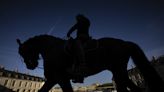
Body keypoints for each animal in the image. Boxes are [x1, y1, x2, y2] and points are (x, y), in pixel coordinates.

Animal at [16, 34, 163, 92]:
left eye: (24, 52)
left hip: (119, 72)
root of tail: (125, 43)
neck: (52, 49)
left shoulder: (60, 78)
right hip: (119, 73)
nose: (30, 66)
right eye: (21, 55)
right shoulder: (55, 79)